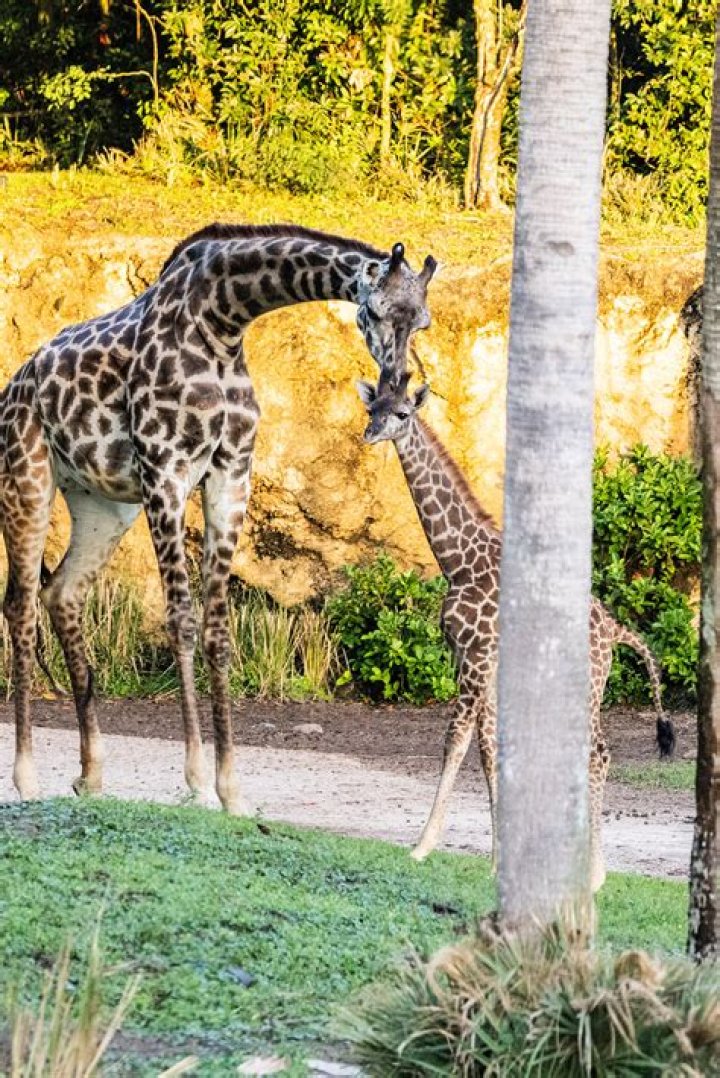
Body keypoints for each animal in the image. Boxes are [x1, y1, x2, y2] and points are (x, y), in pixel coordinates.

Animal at [2, 223, 437, 810]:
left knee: (63, 593)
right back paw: (26, 778)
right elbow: (181, 622)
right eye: (374, 310)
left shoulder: (231, 475)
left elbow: (218, 629)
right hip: (28, 480)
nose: (393, 385)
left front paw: (231, 788)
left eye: (422, 320)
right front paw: (197, 780)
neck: (224, 322)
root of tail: (15, 387)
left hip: (102, 505)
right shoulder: (165, 471)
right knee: (21, 606)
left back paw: (91, 775)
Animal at [356, 375, 675, 891]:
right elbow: (488, 749)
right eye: (373, 408)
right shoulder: (472, 660)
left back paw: (594, 876)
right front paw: (492, 859)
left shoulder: (477, 657)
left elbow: (457, 740)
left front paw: (423, 847)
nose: (370, 434)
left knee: (599, 751)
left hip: (586, 684)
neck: (458, 562)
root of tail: (616, 629)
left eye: (402, 414)